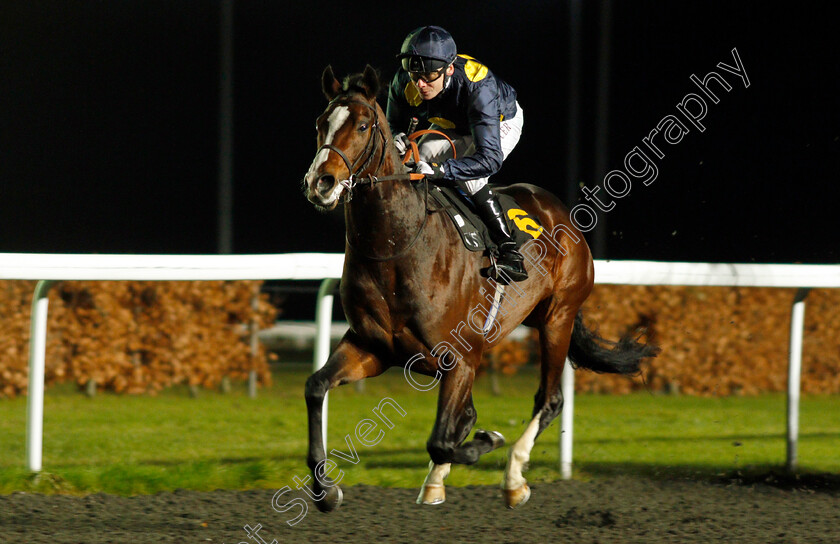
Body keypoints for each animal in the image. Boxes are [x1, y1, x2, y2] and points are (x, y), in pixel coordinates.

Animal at [302, 66, 656, 512]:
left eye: (363, 125)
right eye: (320, 123)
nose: (321, 182)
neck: (397, 247)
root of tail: (557, 209)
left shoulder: (460, 358)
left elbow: (442, 439)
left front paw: (488, 442)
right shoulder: (372, 348)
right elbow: (316, 387)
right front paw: (324, 490)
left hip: (557, 317)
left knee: (549, 400)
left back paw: (513, 479)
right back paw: (436, 483)